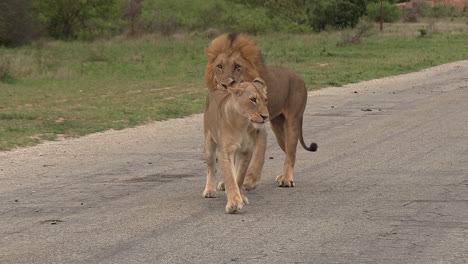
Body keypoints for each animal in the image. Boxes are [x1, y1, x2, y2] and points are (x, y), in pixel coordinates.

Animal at [203, 77, 268, 213]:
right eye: (253, 99)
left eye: (266, 100)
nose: (265, 116)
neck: (242, 123)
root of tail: (217, 89)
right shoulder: (225, 152)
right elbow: (230, 177)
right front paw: (233, 203)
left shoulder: (246, 151)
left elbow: (239, 177)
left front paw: (240, 197)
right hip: (209, 144)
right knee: (211, 168)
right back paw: (210, 190)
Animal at [206, 33, 318, 189]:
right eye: (219, 66)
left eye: (237, 67)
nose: (225, 85)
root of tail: (299, 77)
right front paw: (228, 182)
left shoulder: (259, 127)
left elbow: (258, 153)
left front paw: (250, 179)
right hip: (278, 127)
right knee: (288, 150)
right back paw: (283, 176)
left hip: (292, 120)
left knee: (291, 151)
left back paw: (286, 179)